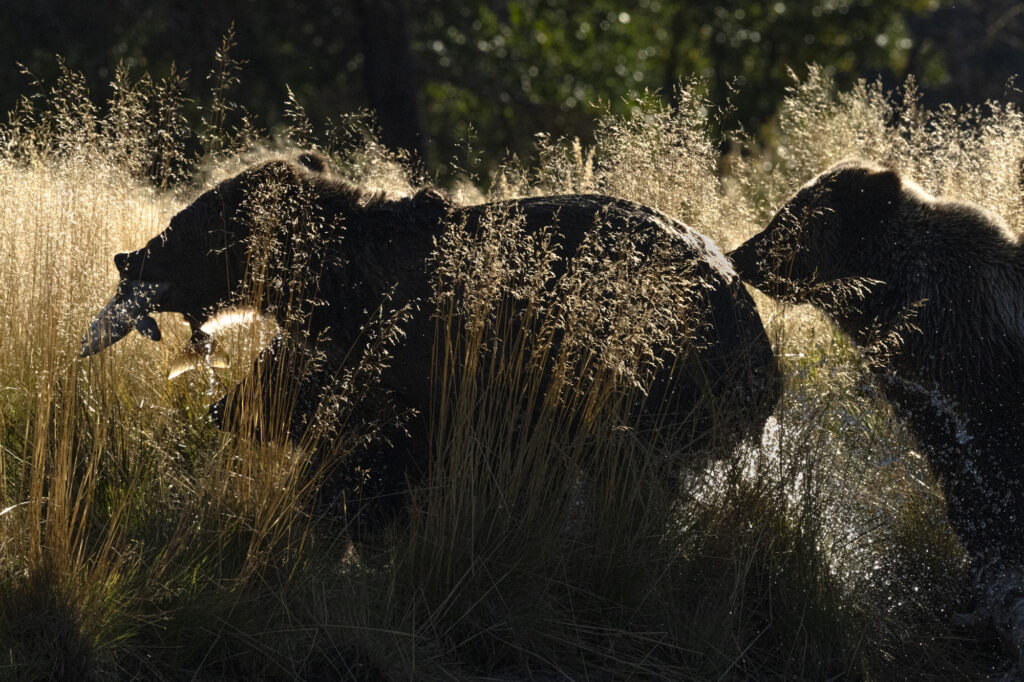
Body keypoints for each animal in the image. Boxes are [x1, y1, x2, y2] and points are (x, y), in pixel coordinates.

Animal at [82, 152, 781, 538]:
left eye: (190, 225)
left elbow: (380, 454)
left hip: (654, 372)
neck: (346, 280)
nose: (128, 256)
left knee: (632, 470)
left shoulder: (434, 366)